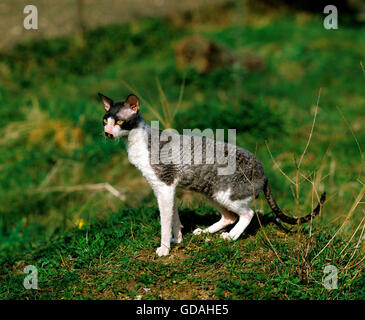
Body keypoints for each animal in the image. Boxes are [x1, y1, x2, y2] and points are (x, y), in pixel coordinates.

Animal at [98, 93, 326, 258]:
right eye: (105, 120)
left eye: (119, 122)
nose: (108, 133)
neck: (135, 143)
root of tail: (264, 172)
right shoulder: (166, 188)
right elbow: (174, 217)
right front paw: (177, 239)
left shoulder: (164, 185)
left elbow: (165, 220)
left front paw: (164, 248)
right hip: (211, 192)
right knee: (230, 216)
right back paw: (205, 232)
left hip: (227, 195)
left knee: (247, 214)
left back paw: (230, 237)